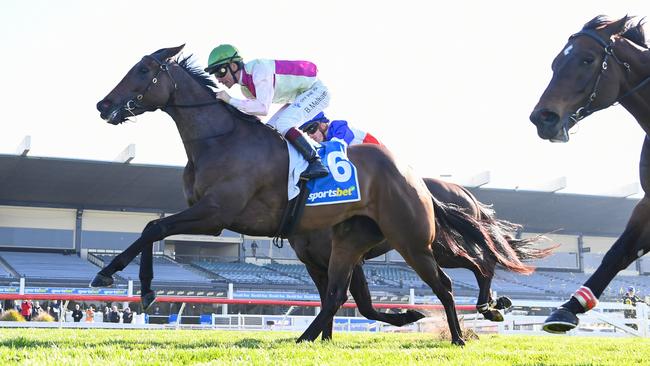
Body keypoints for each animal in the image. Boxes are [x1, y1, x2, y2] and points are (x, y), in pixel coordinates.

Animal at [91, 44, 496, 344]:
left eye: (143, 69)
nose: (103, 105)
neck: (220, 139)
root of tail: (414, 178)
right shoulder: (214, 218)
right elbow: (152, 229)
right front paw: (144, 290)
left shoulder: (215, 214)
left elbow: (153, 228)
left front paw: (111, 275)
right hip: (365, 243)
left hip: (412, 241)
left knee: (451, 280)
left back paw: (461, 334)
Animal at [292, 177, 548, 338]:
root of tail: (464, 191)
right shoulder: (316, 267)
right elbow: (335, 302)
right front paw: (324, 339)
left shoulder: (348, 258)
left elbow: (360, 305)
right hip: (436, 251)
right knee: (479, 265)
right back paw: (493, 305)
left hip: (439, 249)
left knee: (484, 263)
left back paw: (487, 308)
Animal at [528, 15, 650, 334]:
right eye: (555, 63)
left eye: (587, 59)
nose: (542, 118)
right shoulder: (648, 203)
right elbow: (617, 253)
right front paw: (567, 309)